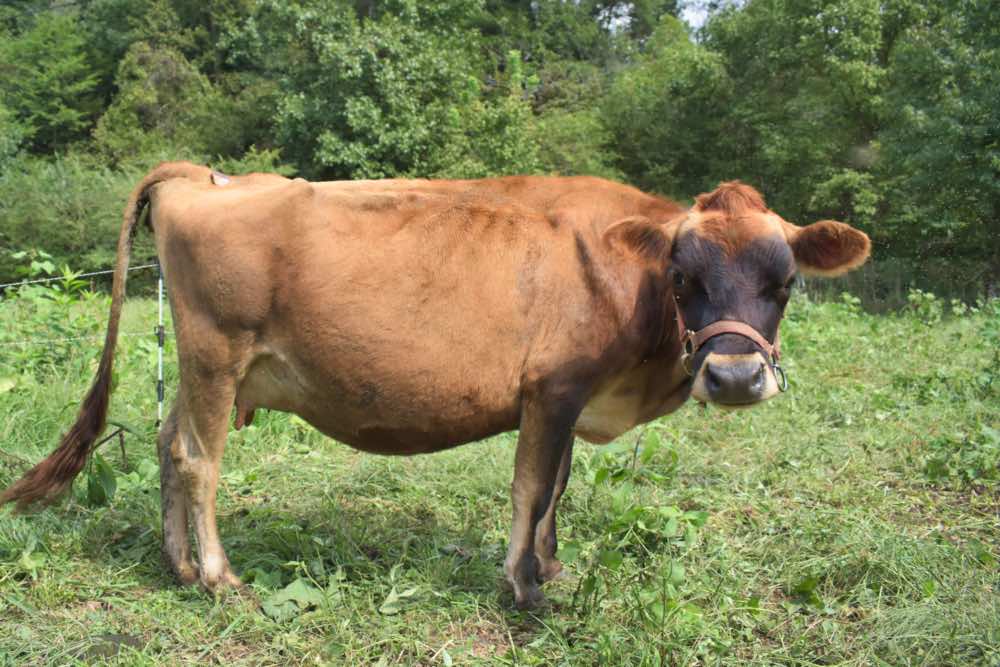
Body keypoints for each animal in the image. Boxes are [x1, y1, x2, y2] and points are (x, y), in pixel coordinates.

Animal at [0, 163, 870, 608]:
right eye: (685, 276)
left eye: (786, 280)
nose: (735, 375)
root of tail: (205, 175)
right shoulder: (553, 386)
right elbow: (532, 488)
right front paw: (525, 588)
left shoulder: (568, 395)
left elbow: (558, 488)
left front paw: (549, 566)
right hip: (216, 348)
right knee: (198, 459)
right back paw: (216, 575)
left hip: (203, 361)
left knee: (165, 438)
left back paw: (176, 563)